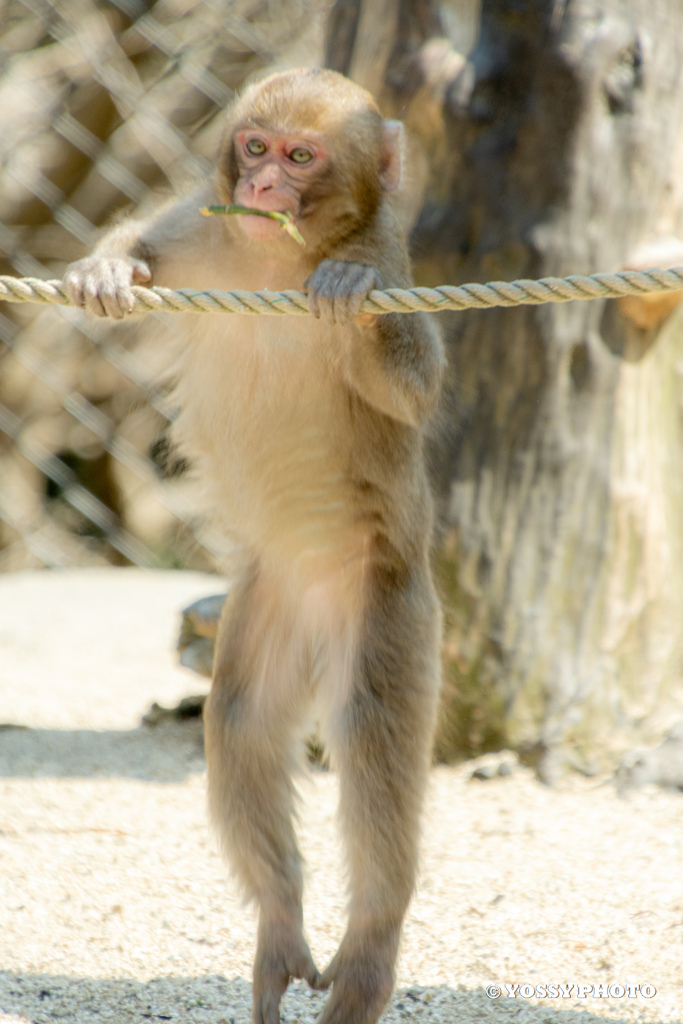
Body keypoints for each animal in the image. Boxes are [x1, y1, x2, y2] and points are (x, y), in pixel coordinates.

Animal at [63, 68, 446, 1019]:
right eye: (256, 146)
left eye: (302, 157)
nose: (266, 184)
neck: (276, 257)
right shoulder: (206, 230)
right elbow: (151, 240)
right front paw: (107, 265)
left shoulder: (391, 263)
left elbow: (414, 387)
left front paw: (345, 295)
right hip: (269, 601)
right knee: (239, 721)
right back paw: (279, 925)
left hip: (385, 601)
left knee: (373, 739)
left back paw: (370, 949)